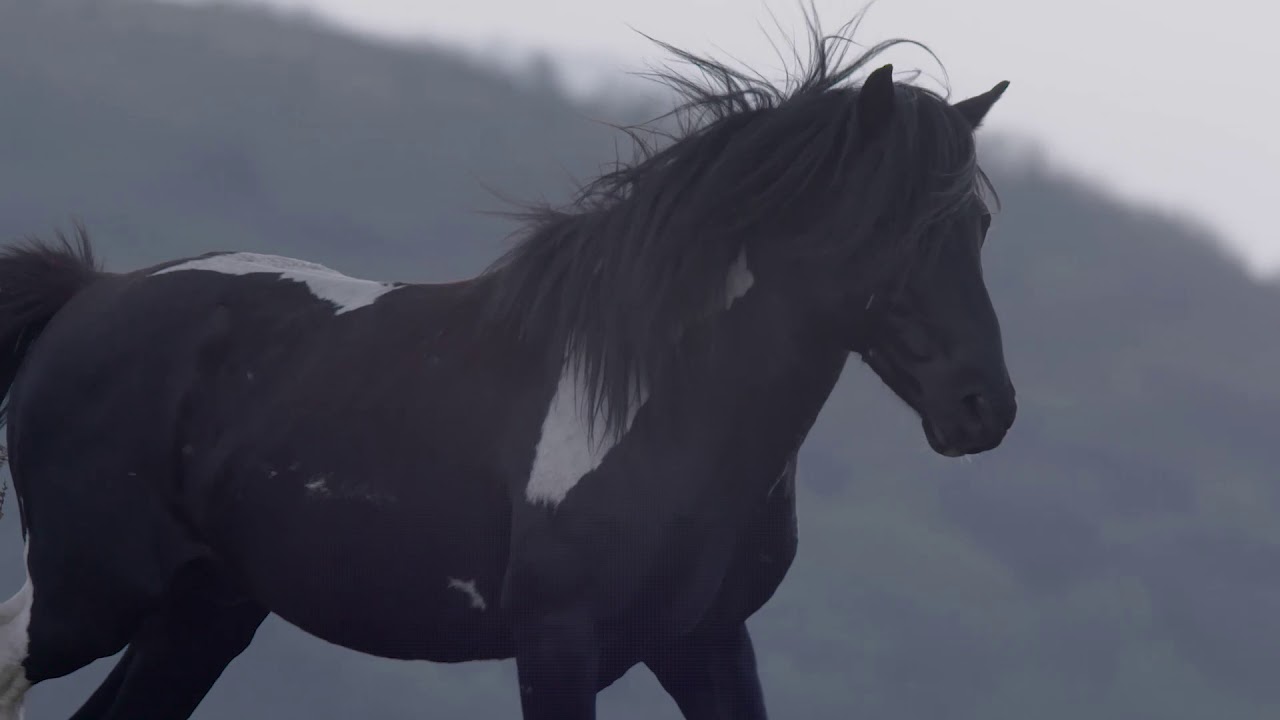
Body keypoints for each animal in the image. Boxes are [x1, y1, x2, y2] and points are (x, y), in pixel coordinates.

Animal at [0, 19, 1015, 720]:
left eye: (977, 226)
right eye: (891, 230)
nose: (985, 410)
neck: (662, 409)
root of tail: (90, 294)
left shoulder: (705, 641)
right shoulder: (558, 640)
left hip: (201, 613)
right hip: (87, 594)